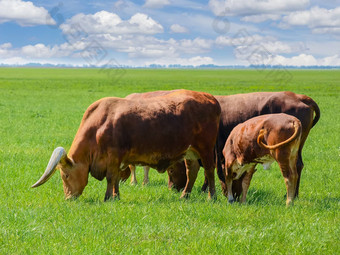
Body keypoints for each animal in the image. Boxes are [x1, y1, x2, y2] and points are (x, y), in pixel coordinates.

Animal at [30, 90, 219, 201]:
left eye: (66, 176)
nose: (69, 198)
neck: (99, 125)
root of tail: (210, 98)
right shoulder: (117, 160)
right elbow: (115, 179)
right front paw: (116, 195)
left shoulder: (114, 157)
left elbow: (111, 177)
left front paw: (108, 197)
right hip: (191, 152)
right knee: (192, 171)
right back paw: (184, 196)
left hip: (206, 149)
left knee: (209, 171)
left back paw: (212, 197)